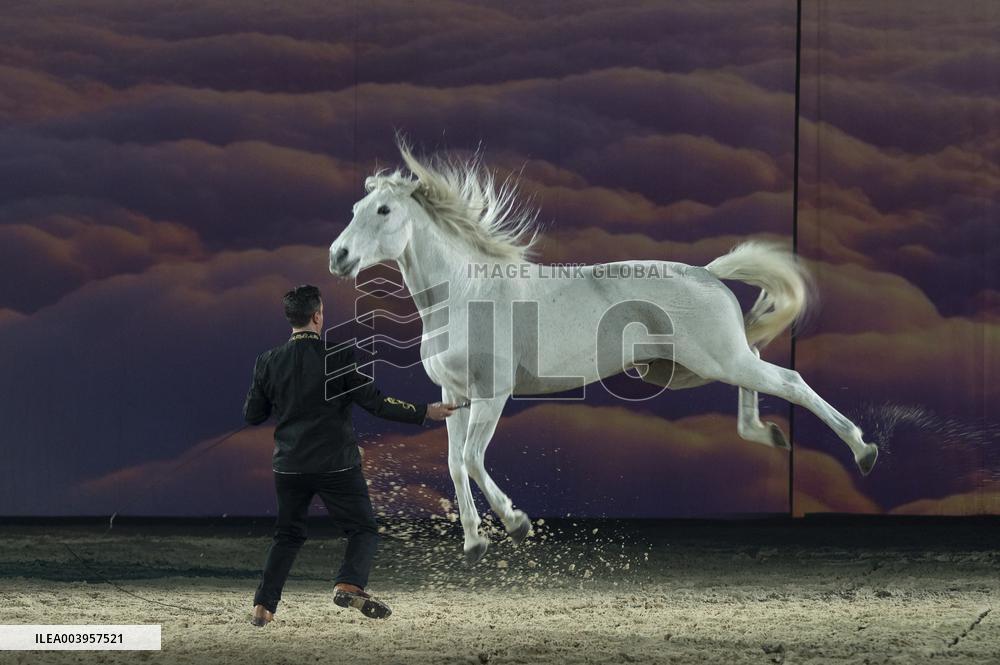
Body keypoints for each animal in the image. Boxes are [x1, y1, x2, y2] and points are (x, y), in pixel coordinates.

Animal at [329, 142, 879, 563]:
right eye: (354, 210)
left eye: (383, 211)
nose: (338, 257)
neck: (466, 293)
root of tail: (708, 273)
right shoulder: (453, 394)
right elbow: (452, 462)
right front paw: (473, 542)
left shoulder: (492, 393)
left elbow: (470, 457)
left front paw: (516, 522)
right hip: (709, 363)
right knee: (761, 377)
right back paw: (771, 435)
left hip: (716, 359)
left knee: (790, 381)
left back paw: (863, 450)